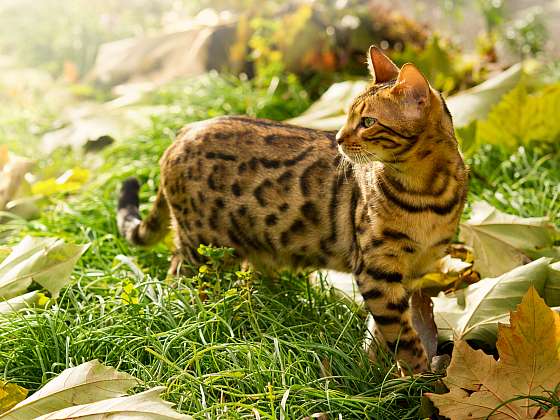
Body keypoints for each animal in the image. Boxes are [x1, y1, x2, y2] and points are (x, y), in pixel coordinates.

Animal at [117, 46, 468, 374]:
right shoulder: (376, 269)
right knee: (176, 280)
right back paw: (192, 315)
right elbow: (402, 335)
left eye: (368, 122)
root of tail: (182, 132)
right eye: (348, 117)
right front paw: (418, 378)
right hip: (202, 246)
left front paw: (376, 369)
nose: (338, 138)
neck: (427, 193)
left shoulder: (413, 269)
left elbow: (382, 330)